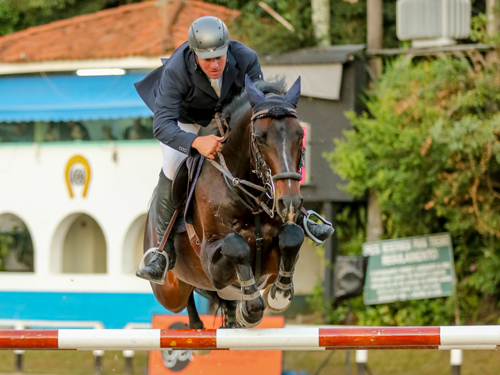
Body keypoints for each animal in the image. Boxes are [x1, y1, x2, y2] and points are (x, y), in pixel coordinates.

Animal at [142, 75, 304, 328]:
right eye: (260, 138)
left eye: (300, 135)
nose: (289, 202)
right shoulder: (211, 261)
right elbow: (235, 245)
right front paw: (250, 308)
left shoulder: (270, 262)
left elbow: (292, 237)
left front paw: (279, 294)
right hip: (170, 292)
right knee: (185, 297)